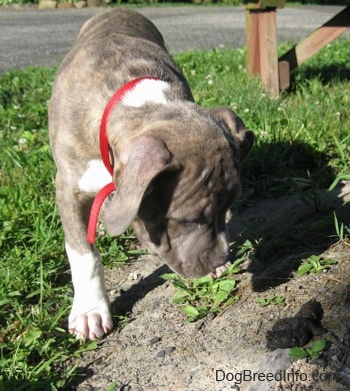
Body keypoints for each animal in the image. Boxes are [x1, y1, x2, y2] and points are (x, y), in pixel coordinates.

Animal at [47, 8, 253, 340]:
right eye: (189, 220)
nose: (222, 258)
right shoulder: (68, 186)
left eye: (227, 209)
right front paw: (90, 310)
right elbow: (82, 252)